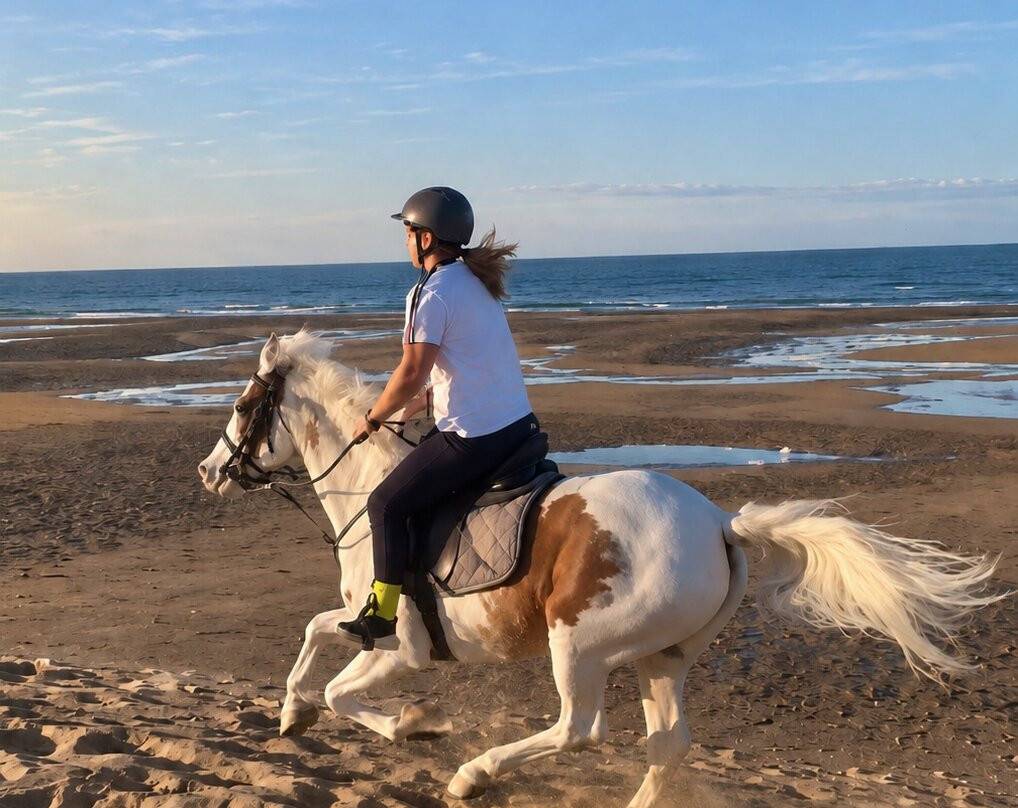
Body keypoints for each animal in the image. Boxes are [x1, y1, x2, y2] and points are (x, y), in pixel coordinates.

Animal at [197, 330, 1003, 807]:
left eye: (242, 405)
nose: (208, 471)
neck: (368, 485)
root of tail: (719, 525)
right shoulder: (364, 627)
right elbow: (314, 637)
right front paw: (293, 712)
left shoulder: (401, 647)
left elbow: (341, 686)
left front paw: (414, 726)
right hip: (661, 656)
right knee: (666, 743)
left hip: (580, 645)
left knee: (579, 727)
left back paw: (473, 773)